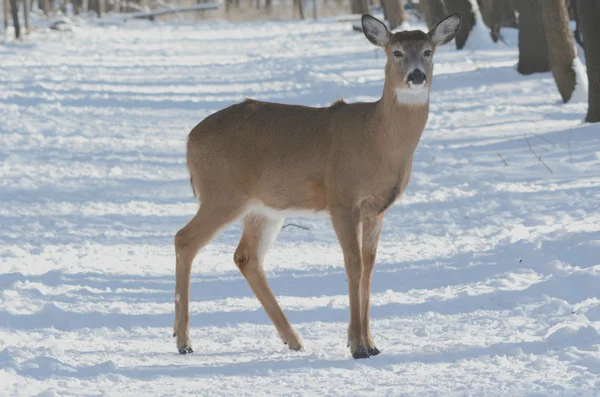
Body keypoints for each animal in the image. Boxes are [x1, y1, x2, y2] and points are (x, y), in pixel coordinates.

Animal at [171, 13, 462, 358]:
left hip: (264, 208)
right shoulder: (342, 199)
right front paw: (357, 346)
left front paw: (371, 343)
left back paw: (293, 339)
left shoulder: (376, 208)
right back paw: (184, 340)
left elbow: (369, 265)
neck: (379, 140)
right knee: (184, 239)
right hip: (222, 192)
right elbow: (353, 264)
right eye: (397, 52)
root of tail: (190, 140)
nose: (416, 76)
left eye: (428, 51)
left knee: (245, 256)